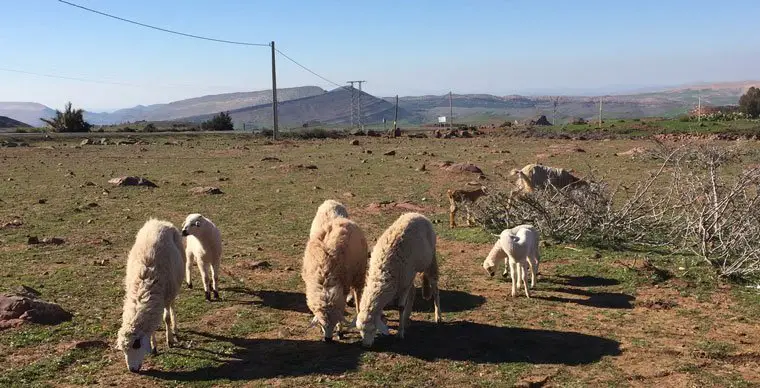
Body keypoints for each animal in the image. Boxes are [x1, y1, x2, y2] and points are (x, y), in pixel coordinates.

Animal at [115, 218, 185, 372]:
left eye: (136, 344)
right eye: (123, 350)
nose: (132, 370)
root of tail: (159, 221)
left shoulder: (166, 295)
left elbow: (166, 318)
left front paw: (169, 340)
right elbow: (152, 327)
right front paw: (154, 347)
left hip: (174, 287)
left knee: (172, 307)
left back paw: (175, 329)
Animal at [354, 212, 440, 348]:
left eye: (373, 329)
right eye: (360, 330)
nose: (366, 346)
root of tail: (417, 214)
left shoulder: (404, 283)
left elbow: (400, 307)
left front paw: (400, 333)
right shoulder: (404, 280)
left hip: (429, 260)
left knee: (435, 287)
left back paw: (438, 316)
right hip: (410, 275)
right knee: (413, 291)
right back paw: (407, 319)